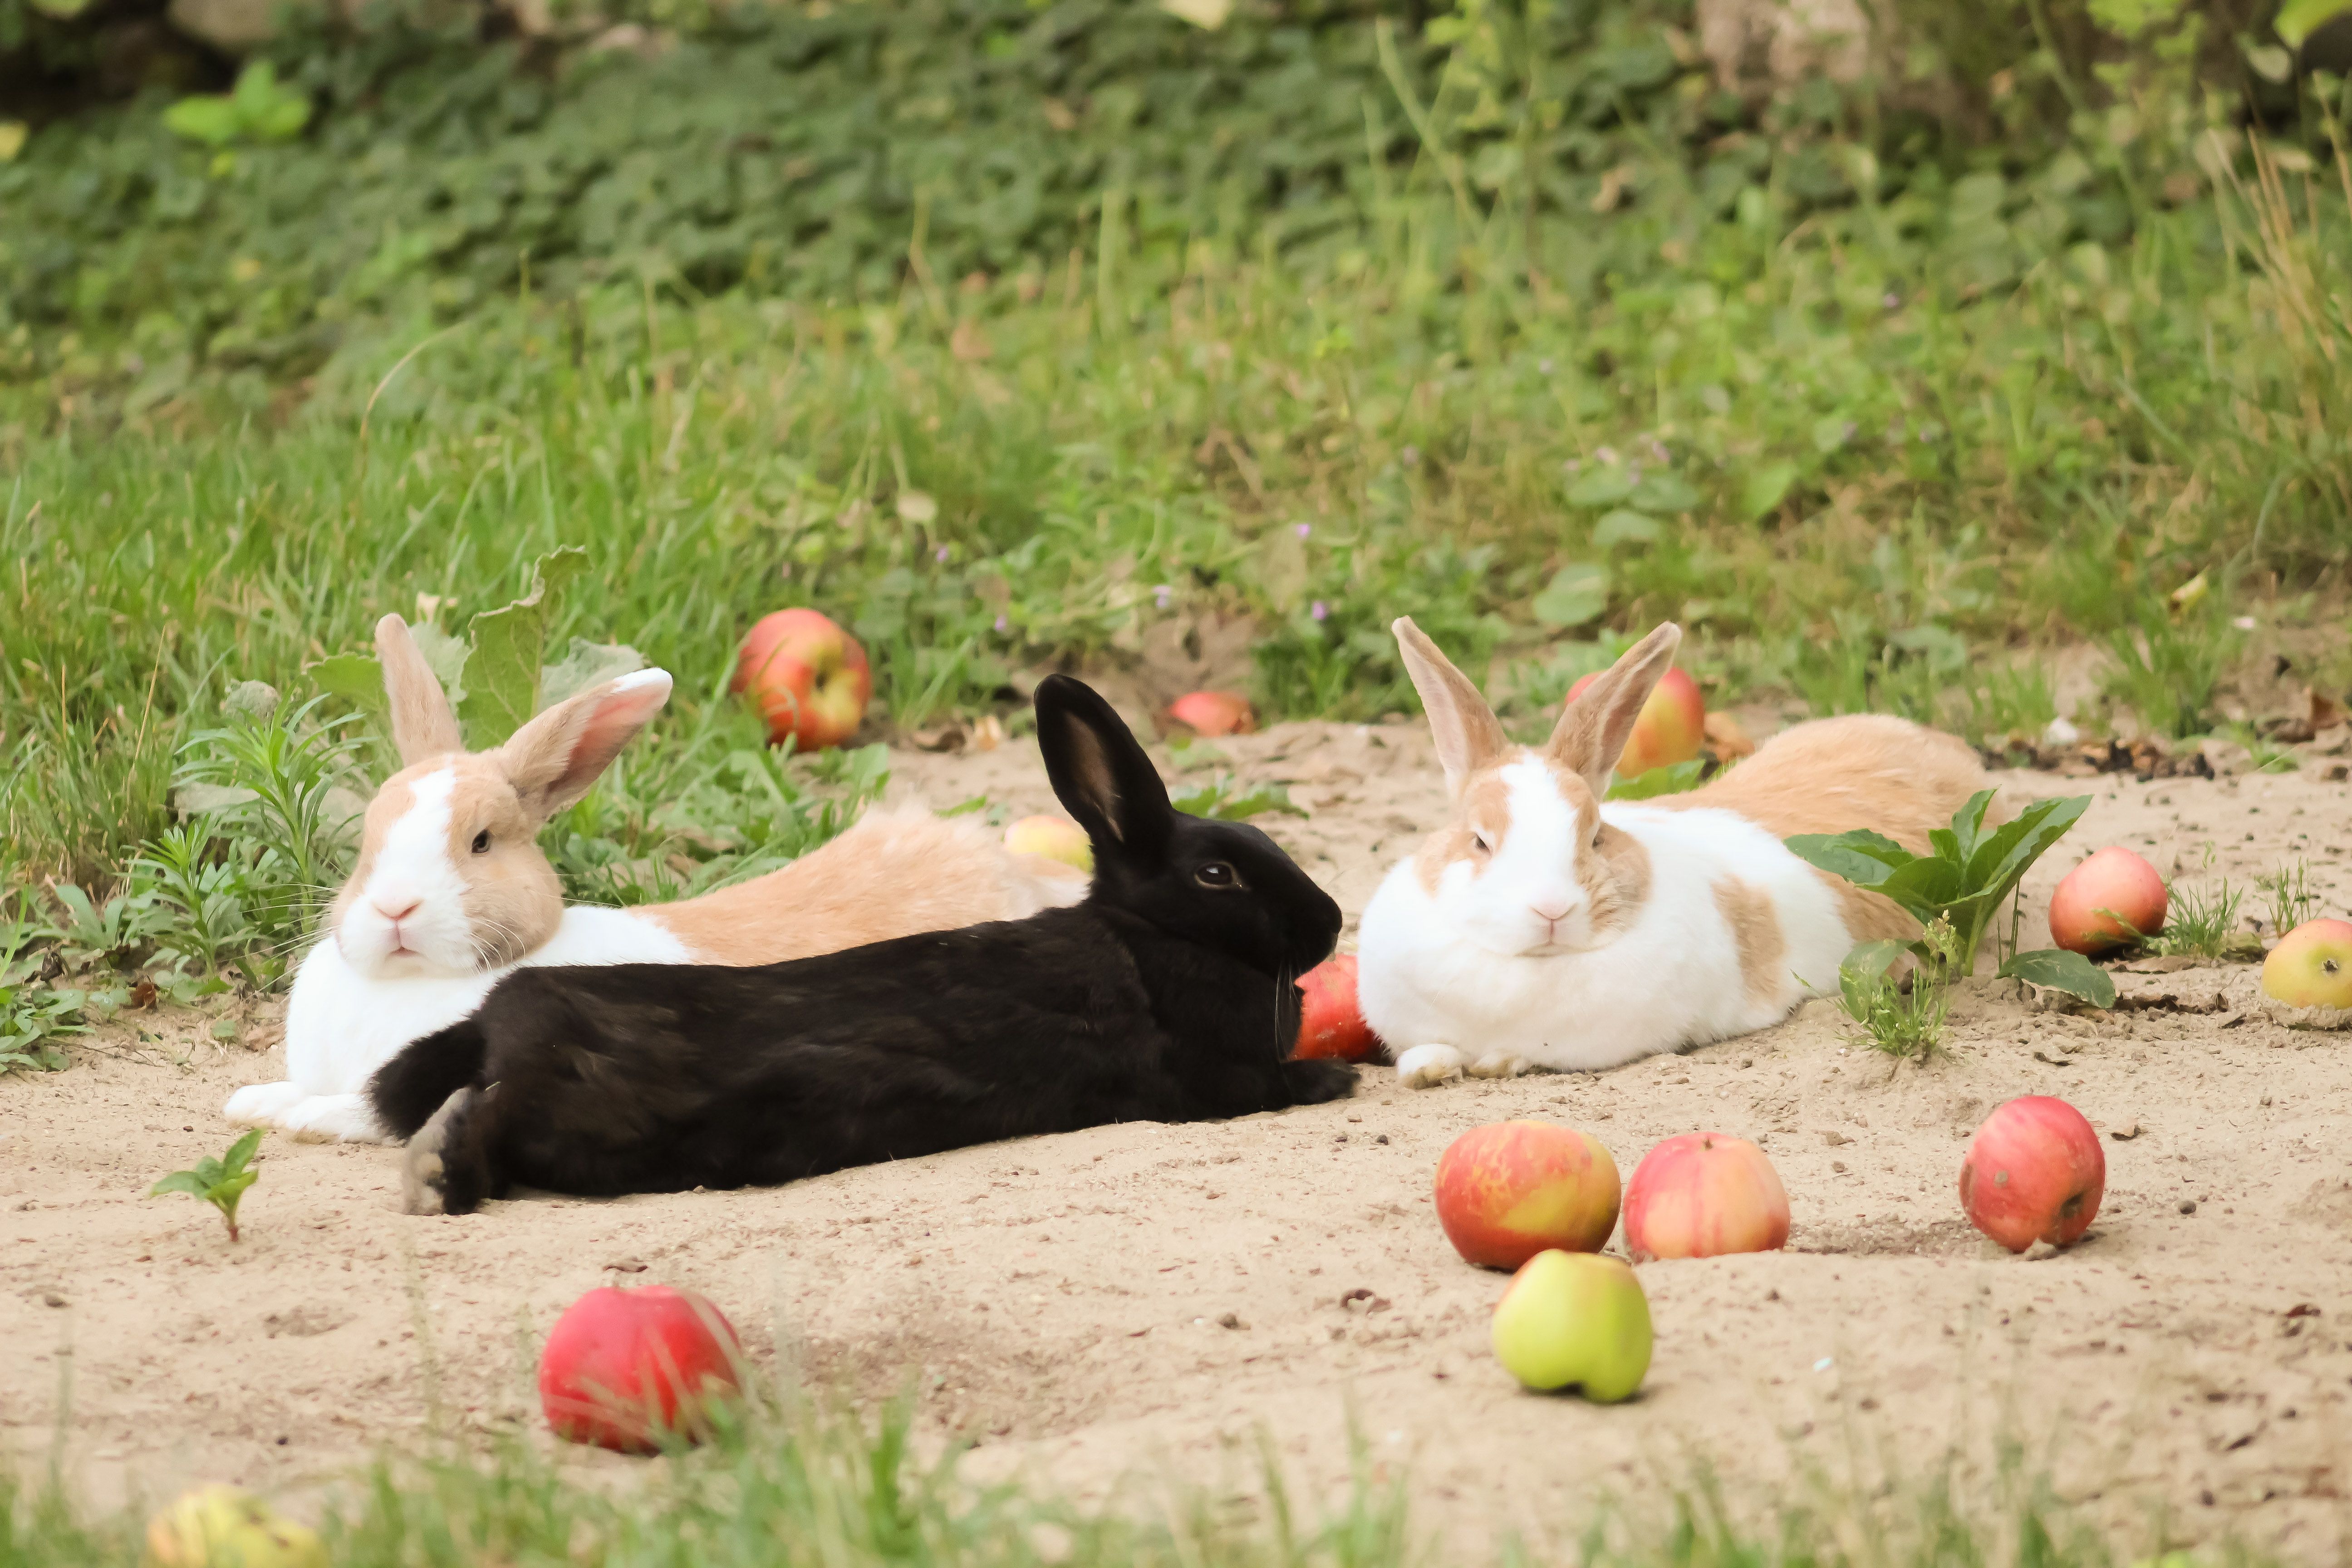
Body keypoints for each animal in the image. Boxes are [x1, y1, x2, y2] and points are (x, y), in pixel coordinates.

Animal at [224, 614, 1086, 1144]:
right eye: (368, 840)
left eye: (481, 842)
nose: (394, 908)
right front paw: (252, 1101)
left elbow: (364, 1109)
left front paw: (295, 1117)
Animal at [366, 673, 1359, 1215]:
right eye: (1217, 874)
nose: (1329, 922)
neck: (1151, 937)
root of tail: (500, 1018)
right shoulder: (1205, 1077)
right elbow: (1271, 1083)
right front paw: (1335, 1079)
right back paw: (438, 1172)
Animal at [1356, 617, 1993, 1087]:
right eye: (1479, 840)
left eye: (1595, 835)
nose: (1551, 910)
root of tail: (1944, 749)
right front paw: (1428, 1068)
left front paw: (1496, 1061)